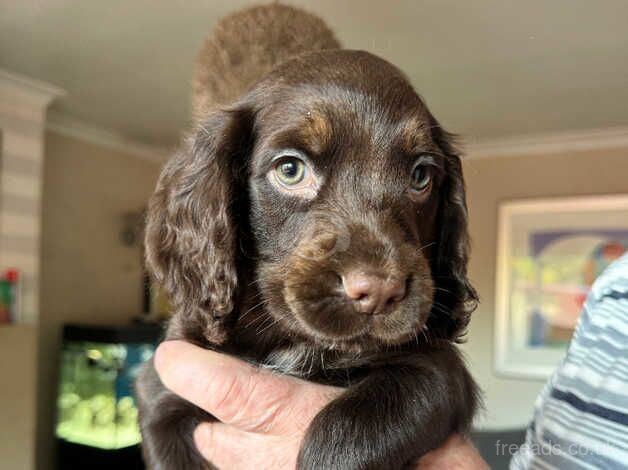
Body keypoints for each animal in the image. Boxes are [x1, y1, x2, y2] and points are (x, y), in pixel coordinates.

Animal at [139, 4, 480, 470]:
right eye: (290, 169)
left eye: (420, 176)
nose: (379, 292)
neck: (293, 343)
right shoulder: (165, 386)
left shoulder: (435, 367)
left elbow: (347, 431)